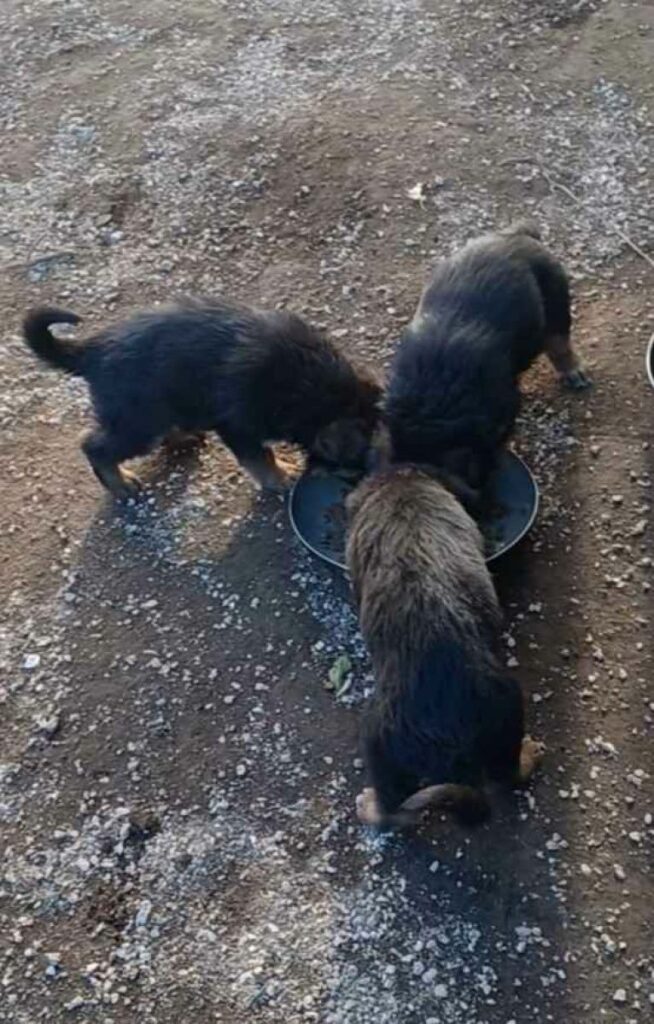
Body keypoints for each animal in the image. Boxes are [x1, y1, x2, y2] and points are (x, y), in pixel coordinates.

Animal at [23, 297, 381, 497]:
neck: (309, 384)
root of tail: (93, 351)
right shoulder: (237, 425)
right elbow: (259, 457)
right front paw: (281, 476)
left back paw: (184, 437)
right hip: (139, 422)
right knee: (95, 446)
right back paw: (120, 483)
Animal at [346, 464, 544, 829]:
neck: (404, 485)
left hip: (378, 738)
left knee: (395, 810)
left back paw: (372, 808)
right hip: (507, 706)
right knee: (508, 773)